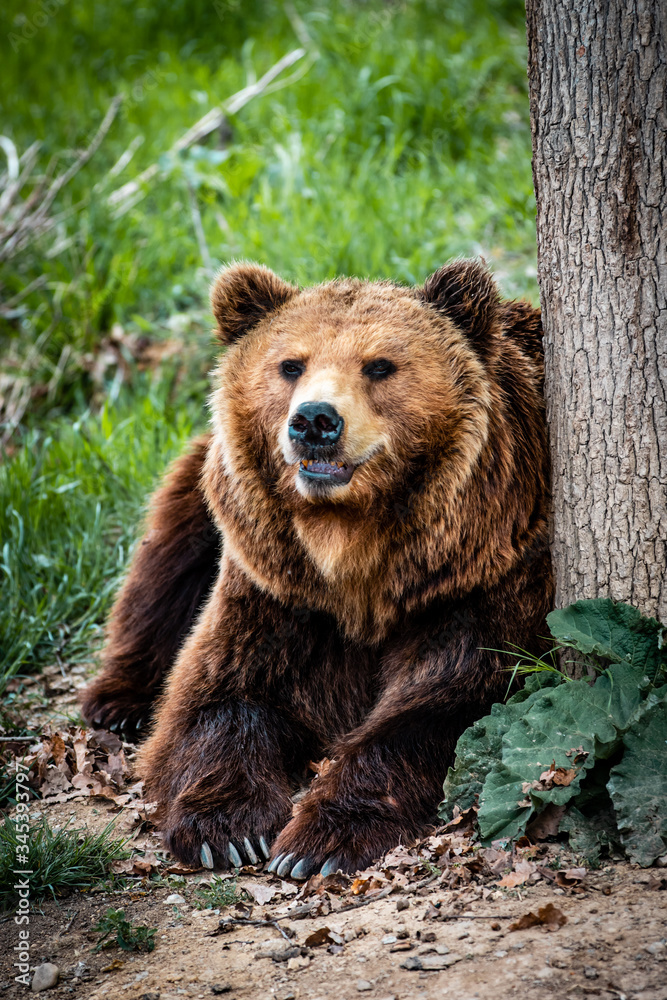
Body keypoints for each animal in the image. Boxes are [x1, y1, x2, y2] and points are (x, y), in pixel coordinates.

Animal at [80, 259, 553, 878]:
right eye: (290, 364)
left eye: (380, 365)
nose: (314, 420)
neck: (352, 555)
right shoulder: (280, 588)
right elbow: (220, 692)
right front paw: (227, 828)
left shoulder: (479, 578)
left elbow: (452, 700)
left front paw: (318, 841)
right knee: (166, 561)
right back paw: (118, 702)